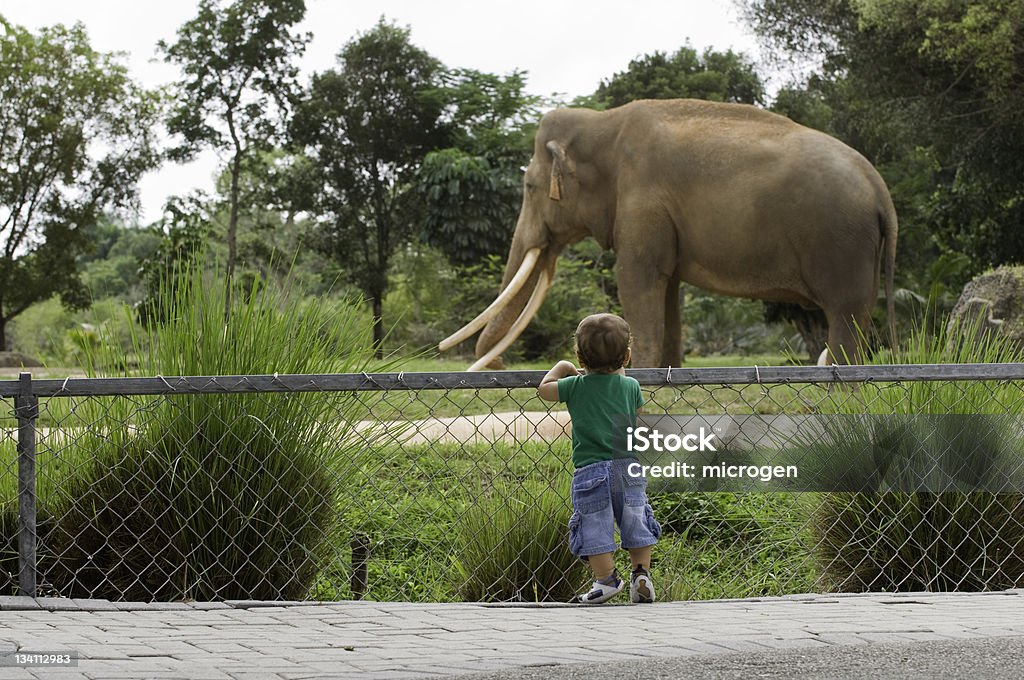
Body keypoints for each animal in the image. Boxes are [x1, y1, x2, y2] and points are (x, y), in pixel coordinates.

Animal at [440, 98, 897, 368]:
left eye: (529, 188)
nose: (497, 365)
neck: (602, 123)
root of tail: (882, 193)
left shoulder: (642, 201)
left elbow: (636, 280)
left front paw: (639, 375)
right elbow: (668, 291)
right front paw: (669, 374)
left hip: (841, 243)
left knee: (845, 313)